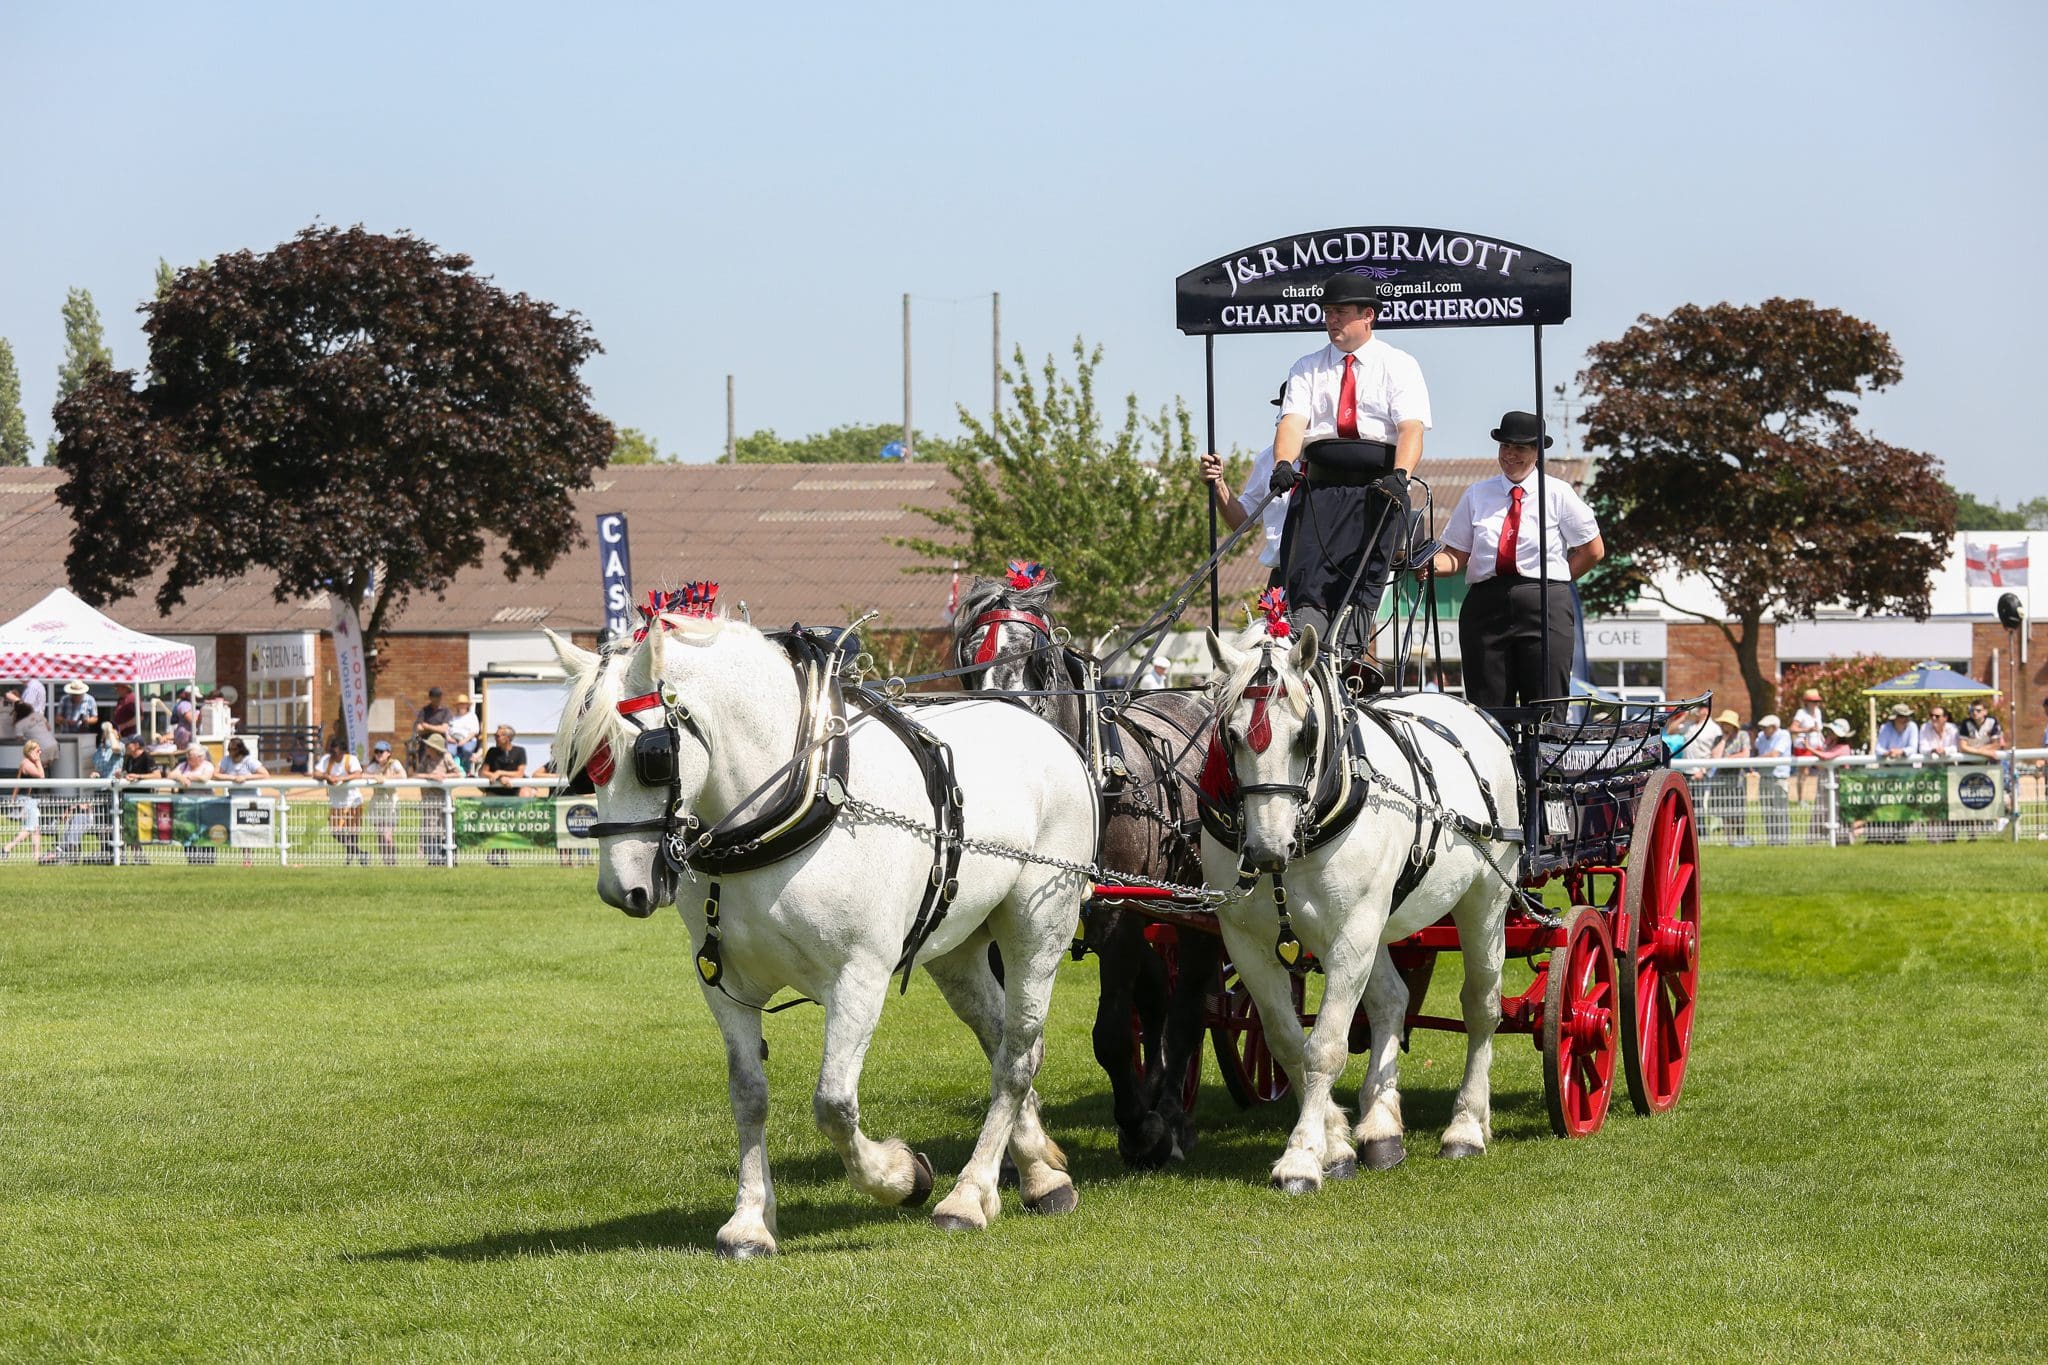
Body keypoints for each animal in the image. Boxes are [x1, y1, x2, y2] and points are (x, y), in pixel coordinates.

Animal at [548, 609, 1105, 1260]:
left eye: (651, 756)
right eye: (581, 763)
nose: (623, 890)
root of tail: (1043, 730)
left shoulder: (858, 978)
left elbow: (834, 1105)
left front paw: (902, 1177)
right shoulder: (723, 984)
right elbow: (749, 1095)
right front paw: (750, 1222)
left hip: (1037, 926)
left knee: (1016, 1055)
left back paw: (967, 1198)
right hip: (958, 946)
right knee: (1003, 1044)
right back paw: (1040, 1173)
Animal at [950, 564, 1220, 1178]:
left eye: (1038, 665)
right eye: (969, 664)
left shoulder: (1117, 915)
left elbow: (1112, 1033)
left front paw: (1142, 1130)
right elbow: (1009, 1034)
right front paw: (1023, 1150)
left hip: (1193, 905)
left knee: (1189, 1002)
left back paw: (1171, 1118)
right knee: (1158, 992)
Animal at [1196, 618, 1523, 1195]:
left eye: (1304, 735)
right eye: (1230, 735)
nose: (1265, 850)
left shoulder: (1352, 930)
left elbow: (1325, 1045)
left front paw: (1301, 1158)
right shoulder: (1245, 939)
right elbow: (1287, 1042)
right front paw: (1335, 1141)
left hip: (1484, 900)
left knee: (1482, 1007)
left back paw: (1466, 1124)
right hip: (1382, 922)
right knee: (1392, 1000)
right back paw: (1381, 1126)